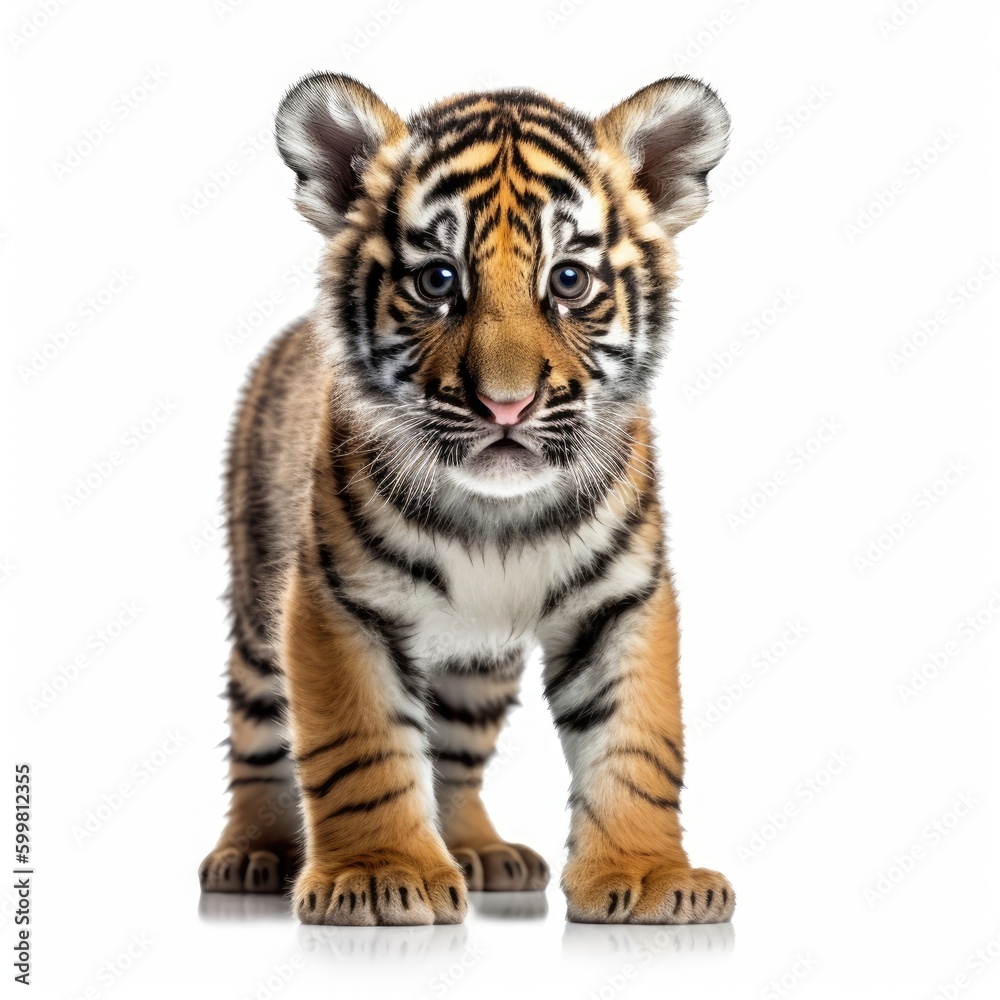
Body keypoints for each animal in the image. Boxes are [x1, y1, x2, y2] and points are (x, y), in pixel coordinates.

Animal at [198, 72, 735, 927]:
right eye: (437, 281)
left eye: (569, 280)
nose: (506, 405)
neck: (498, 517)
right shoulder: (339, 601)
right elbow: (362, 751)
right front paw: (377, 875)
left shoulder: (623, 600)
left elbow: (636, 744)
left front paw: (651, 875)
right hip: (256, 599)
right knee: (255, 731)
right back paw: (250, 854)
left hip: (478, 671)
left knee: (453, 754)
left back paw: (481, 852)